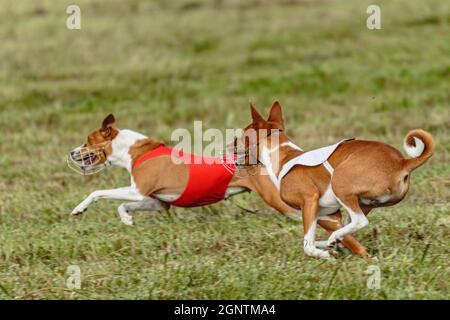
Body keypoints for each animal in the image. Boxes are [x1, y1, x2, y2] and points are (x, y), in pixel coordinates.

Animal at [237, 101, 434, 258]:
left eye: (239, 138)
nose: (230, 149)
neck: (283, 156)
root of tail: (402, 162)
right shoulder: (327, 215)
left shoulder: (309, 201)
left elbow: (307, 244)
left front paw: (321, 254)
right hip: (365, 203)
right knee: (349, 227)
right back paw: (331, 241)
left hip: (340, 183)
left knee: (359, 221)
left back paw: (331, 240)